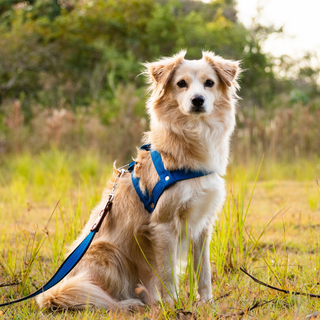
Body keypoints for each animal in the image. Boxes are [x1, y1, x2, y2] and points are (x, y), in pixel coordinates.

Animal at [36, 50, 240, 310]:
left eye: (209, 83)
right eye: (181, 84)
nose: (198, 100)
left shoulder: (202, 223)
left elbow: (203, 271)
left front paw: (207, 303)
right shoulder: (163, 225)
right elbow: (168, 274)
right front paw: (173, 306)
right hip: (109, 253)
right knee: (100, 296)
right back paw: (129, 303)